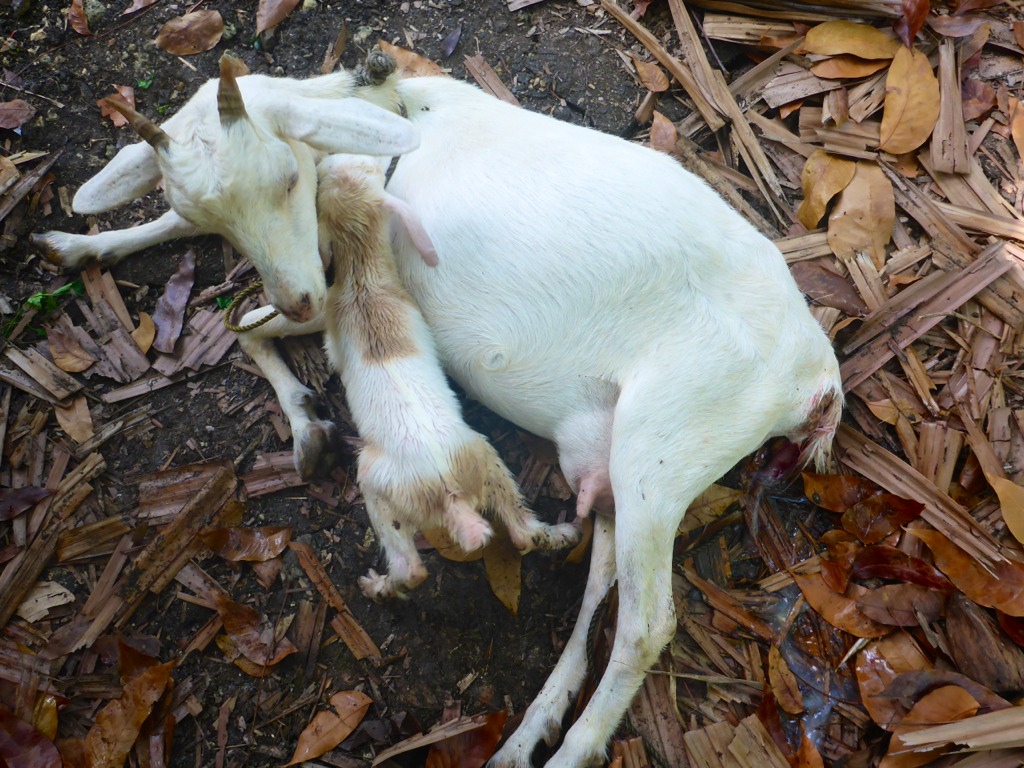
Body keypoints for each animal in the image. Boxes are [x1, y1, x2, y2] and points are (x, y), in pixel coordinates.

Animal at [36, 51, 843, 765]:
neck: (390, 112)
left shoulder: (340, 281)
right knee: (602, 587)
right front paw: (76, 243)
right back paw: (524, 736)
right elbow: (209, 279)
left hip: (665, 444)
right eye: (210, 213)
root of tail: (816, 379)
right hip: (615, 460)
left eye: (287, 177)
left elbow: (243, 329)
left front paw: (305, 425)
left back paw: (570, 751)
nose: (297, 294)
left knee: (647, 624)